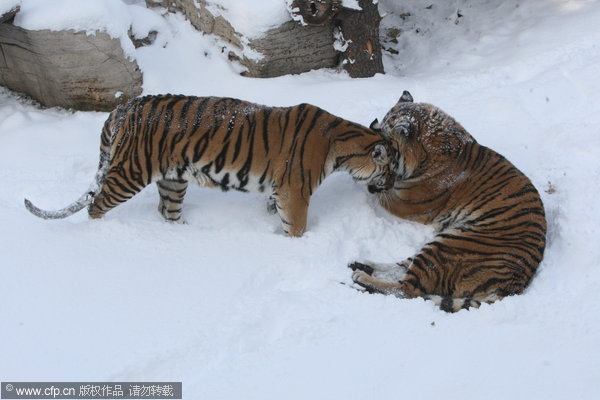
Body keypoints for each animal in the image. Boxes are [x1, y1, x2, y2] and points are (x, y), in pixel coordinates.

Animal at [25, 95, 396, 236]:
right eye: (390, 169)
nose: (392, 185)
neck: (342, 144)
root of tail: (125, 106)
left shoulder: (281, 189)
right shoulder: (296, 191)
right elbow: (296, 226)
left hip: (173, 180)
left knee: (168, 212)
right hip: (131, 172)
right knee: (96, 206)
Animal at [350, 91, 548, 312]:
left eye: (386, 140)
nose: (373, 125)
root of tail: (513, 284)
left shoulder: (405, 202)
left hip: (448, 246)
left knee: (406, 290)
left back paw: (361, 277)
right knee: (401, 267)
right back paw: (362, 264)